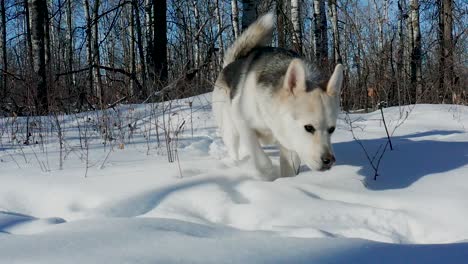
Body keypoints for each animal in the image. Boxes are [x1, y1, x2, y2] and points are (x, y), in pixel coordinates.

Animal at [213, 12, 344, 182]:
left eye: (332, 129)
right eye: (308, 128)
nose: (329, 161)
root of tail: (230, 64)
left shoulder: (290, 145)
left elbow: (289, 170)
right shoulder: (242, 122)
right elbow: (261, 158)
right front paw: (269, 175)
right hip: (231, 131)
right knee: (235, 149)